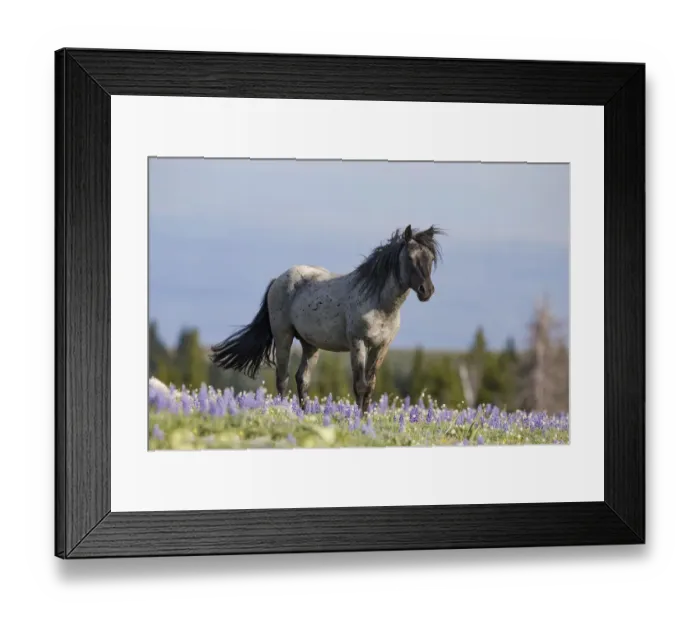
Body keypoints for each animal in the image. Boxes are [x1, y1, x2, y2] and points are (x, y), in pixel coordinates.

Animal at [209, 224, 444, 415]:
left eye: (431, 259)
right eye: (410, 258)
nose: (427, 290)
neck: (379, 303)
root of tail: (278, 279)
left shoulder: (381, 347)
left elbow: (370, 385)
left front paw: (366, 418)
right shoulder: (358, 343)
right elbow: (360, 384)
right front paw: (358, 420)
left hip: (310, 344)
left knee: (302, 379)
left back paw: (305, 414)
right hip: (283, 336)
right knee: (282, 378)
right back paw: (284, 412)